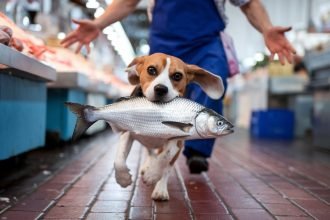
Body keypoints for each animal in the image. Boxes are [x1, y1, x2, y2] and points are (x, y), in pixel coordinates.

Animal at [113, 52, 224, 200]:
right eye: (151, 70)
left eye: (177, 76)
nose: (161, 89)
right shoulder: (127, 131)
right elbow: (119, 160)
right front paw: (123, 178)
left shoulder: (178, 139)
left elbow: (165, 157)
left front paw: (152, 175)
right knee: (150, 152)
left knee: (166, 166)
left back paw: (159, 187)